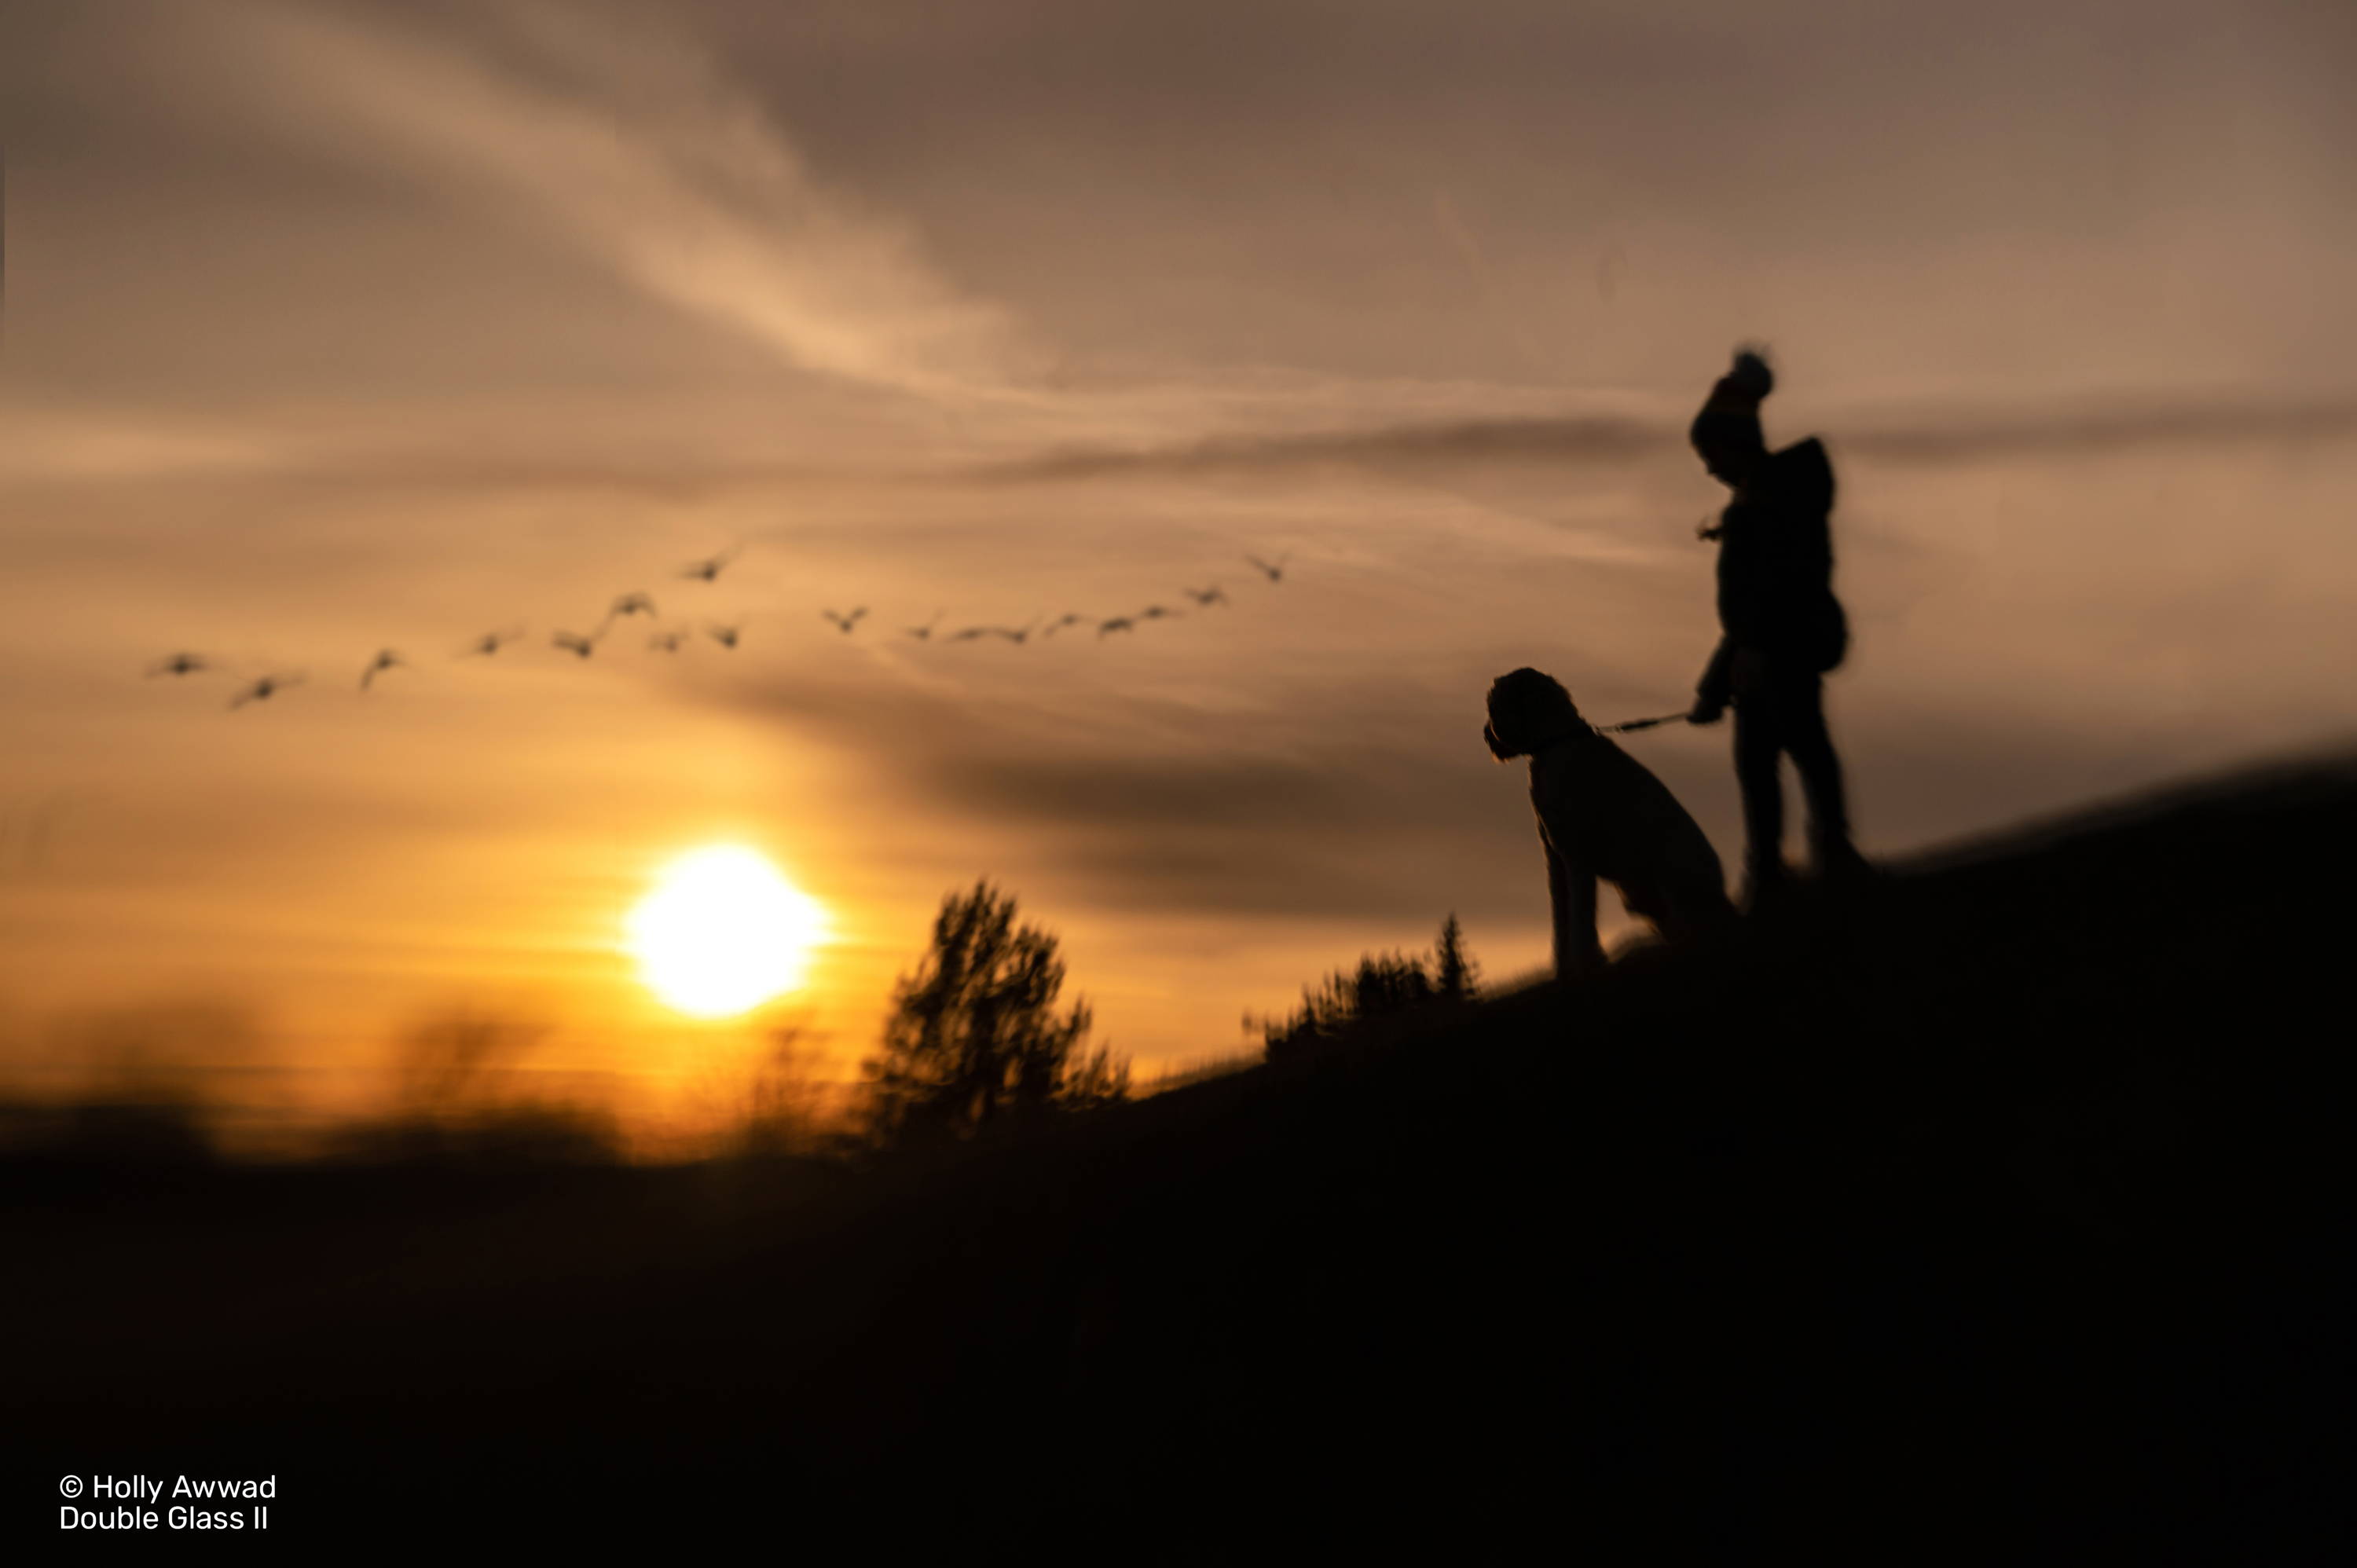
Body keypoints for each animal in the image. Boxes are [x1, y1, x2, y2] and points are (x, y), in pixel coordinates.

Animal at [1480, 665, 1744, 980]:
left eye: (1494, 704)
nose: (1485, 734)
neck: (1558, 741)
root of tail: (1721, 890)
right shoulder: (1556, 858)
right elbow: (1561, 917)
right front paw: (1563, 968)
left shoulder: (1577, 859)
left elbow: (1581, 918)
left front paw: (1584, 964)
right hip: (1643, 898)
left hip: (1673, 884)